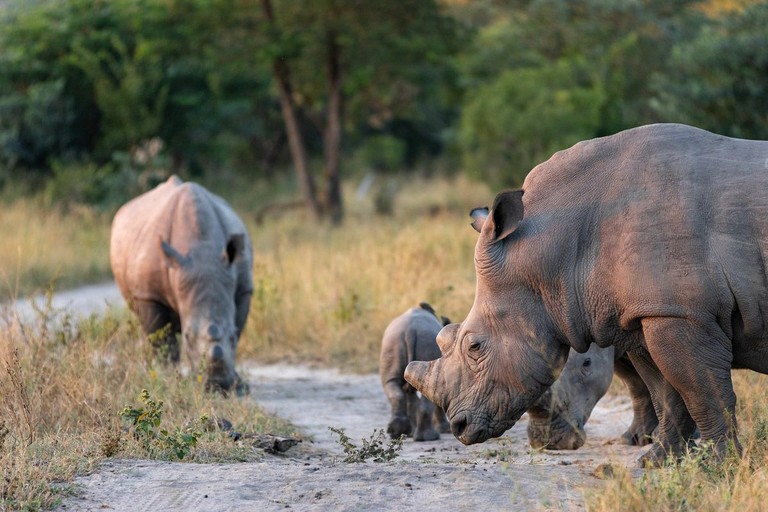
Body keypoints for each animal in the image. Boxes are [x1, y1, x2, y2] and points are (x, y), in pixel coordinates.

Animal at [110, 176, 253, 395]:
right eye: (187, 337)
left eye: (231, 337)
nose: (217, 385)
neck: (203, 250)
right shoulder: (149, 294)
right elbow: (162, 338)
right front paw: (168, 380)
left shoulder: (243, 289)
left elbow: (240, 325)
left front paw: (239, 385)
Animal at [380, 302, 451, 441]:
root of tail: (410, 331)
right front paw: (446, 430)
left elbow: (411, 400)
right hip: (427, 342)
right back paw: (430, 437)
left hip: (393, 343)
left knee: (391, 384)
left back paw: (398, 433)